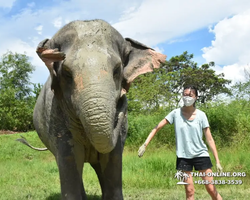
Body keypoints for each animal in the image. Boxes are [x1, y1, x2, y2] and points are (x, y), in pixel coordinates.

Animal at [20, 19, 166, 200]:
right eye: (67, 73)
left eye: (117, 70)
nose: (122, 100)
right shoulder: (56, 113)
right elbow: (69, 160)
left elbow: (112, 158)